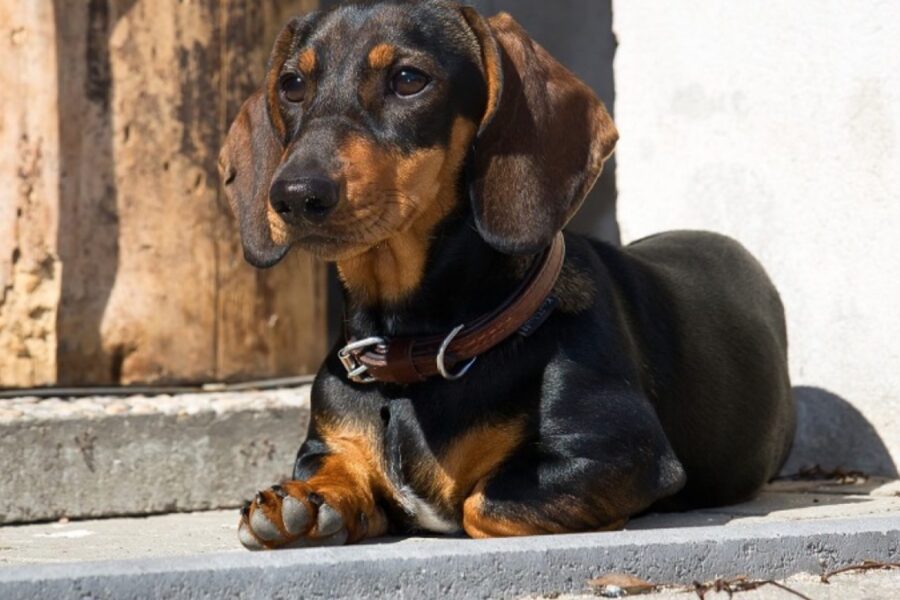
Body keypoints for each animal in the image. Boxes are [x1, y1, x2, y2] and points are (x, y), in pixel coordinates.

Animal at [218, 0, 796, 548]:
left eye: (408, 78)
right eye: (292, 85)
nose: (295, 195)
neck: (416, 354)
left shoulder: (617, 452)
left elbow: (482, 504)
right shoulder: (323, 446)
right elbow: (335, 469)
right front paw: (307, 503)